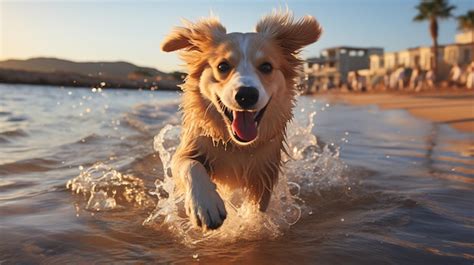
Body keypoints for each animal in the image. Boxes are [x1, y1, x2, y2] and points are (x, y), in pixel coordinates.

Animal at [161, 10, 320, 229]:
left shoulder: (264, 172)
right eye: (222, 66)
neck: (238, 147)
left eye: (266, 66)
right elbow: (189, 165)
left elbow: (257, 208)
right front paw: (206, 204)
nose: (246, 95)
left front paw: (251, 224)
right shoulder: (190, 147)